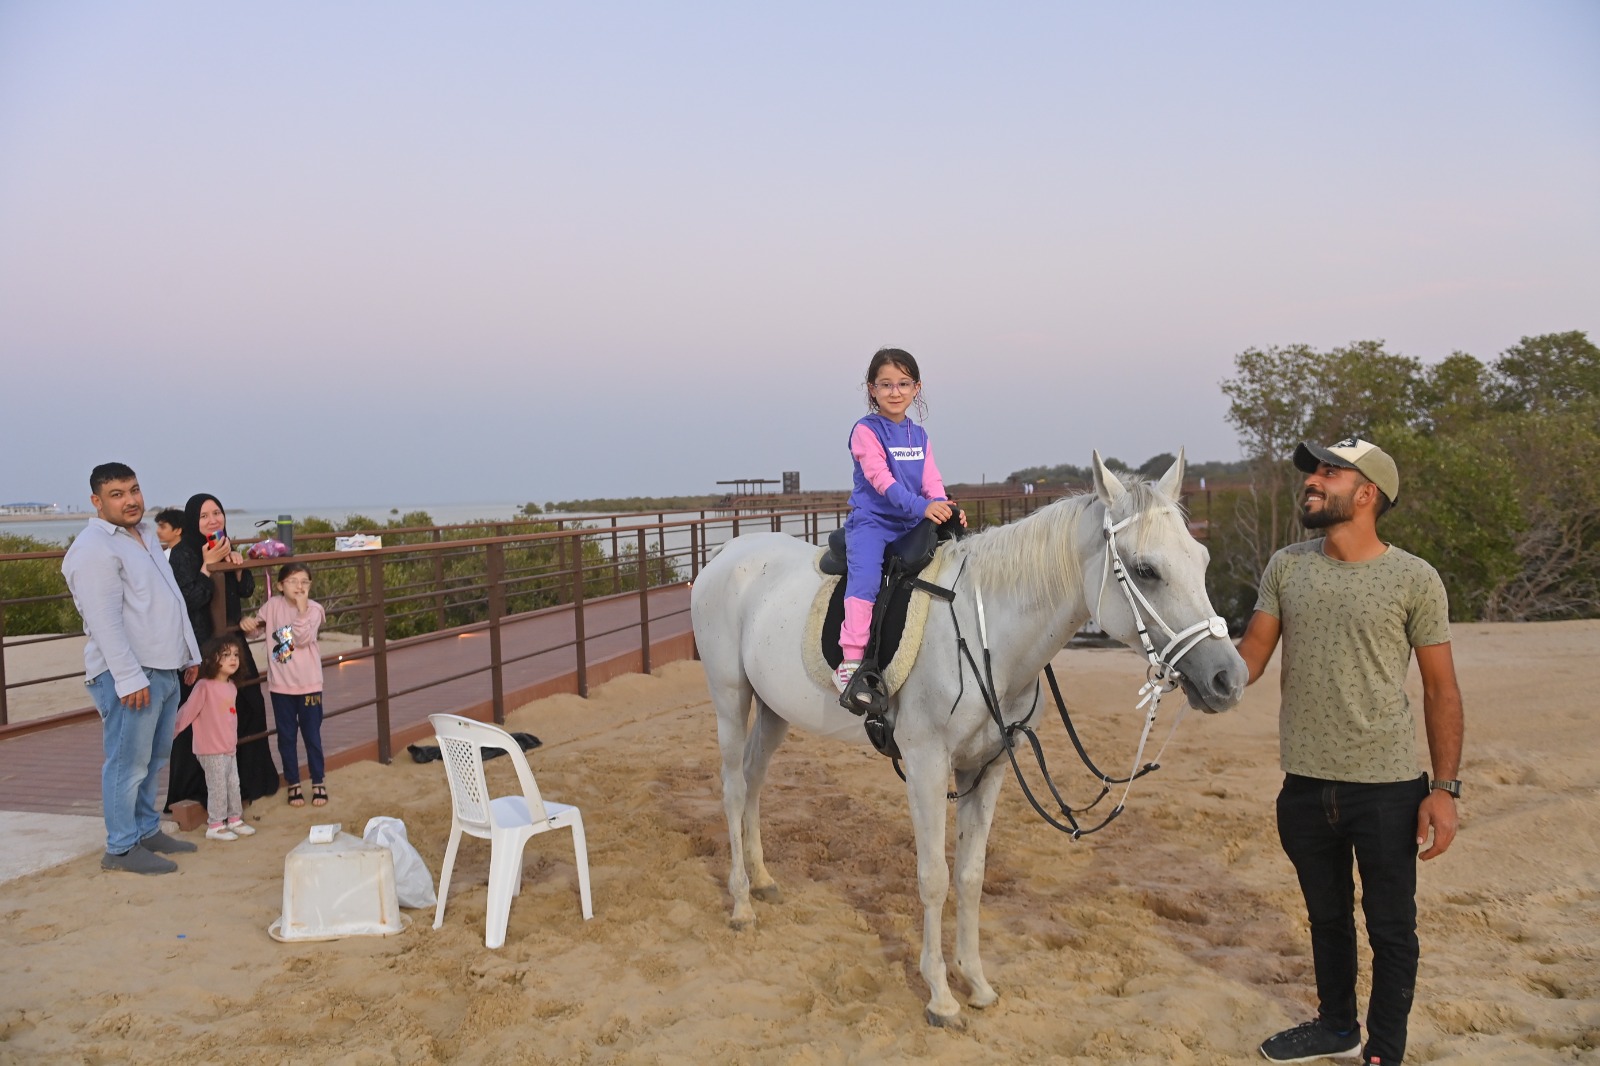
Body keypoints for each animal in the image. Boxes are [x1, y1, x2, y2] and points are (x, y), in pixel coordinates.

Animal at [691, 448, 1248, 1024]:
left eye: (1202, 559)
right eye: (1145, 570)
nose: (1229, 678)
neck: (987, 636)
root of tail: (727, 553)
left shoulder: (989, 767)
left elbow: (971, 875)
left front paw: (975, 982)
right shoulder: (927, 767)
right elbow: (934, 877)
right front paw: (940, 995)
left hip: (772, 709)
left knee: (754, 782)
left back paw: (763, 880)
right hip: (730, 698)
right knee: (733, 789)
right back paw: (741, 903)